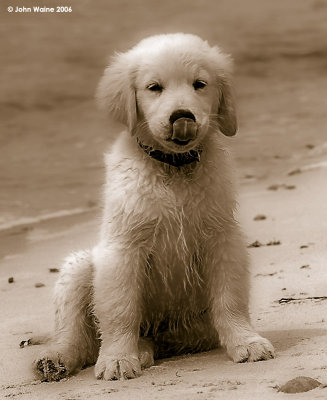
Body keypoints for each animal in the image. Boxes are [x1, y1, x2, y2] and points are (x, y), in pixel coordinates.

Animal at [33, 33, 276, 382]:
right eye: (154, 87)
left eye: (199, 84)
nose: (182, 116)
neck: (173, 168)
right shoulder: (123, 247)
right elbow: (120, 310)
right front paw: (118, 360)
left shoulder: (221, 237)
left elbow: (230, 299)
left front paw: (246, 341)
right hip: (79, 268)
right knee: (75, 337)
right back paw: (56, 359)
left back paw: (143, 351)